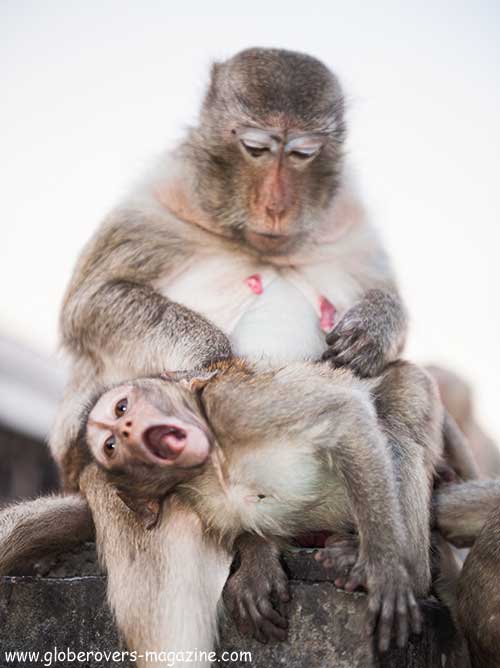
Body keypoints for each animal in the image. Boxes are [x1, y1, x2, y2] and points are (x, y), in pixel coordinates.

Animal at [83, 358, 446, 648]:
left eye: (122, 407)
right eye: (111, 445)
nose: (126, 428)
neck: (214, 464)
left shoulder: (232, 403)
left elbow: (346, 419)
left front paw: (384, 569)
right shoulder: (198, 501)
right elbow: (252, 528)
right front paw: (258, 564)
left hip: (414, 386)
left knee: (397, 424)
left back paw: (408, 569)